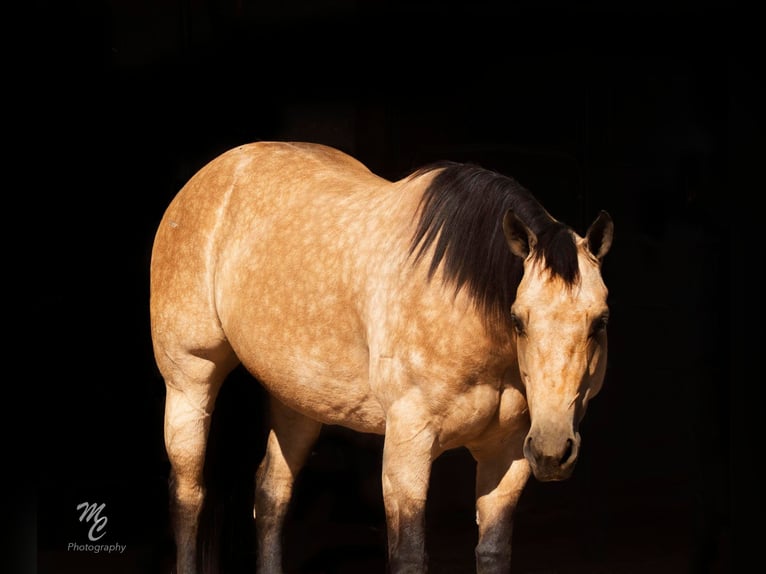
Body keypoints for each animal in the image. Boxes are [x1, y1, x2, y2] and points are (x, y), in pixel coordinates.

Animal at [150, 141, 616, 574]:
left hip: (298, 400)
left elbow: (493, 552)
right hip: (189, 380)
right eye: (518, 319)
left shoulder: (507, 455)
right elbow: (408, 555)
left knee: (270, 493)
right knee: (188, 495)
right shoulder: (408, 446)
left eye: (600, 321)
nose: (552, 451)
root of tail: (218, 170)